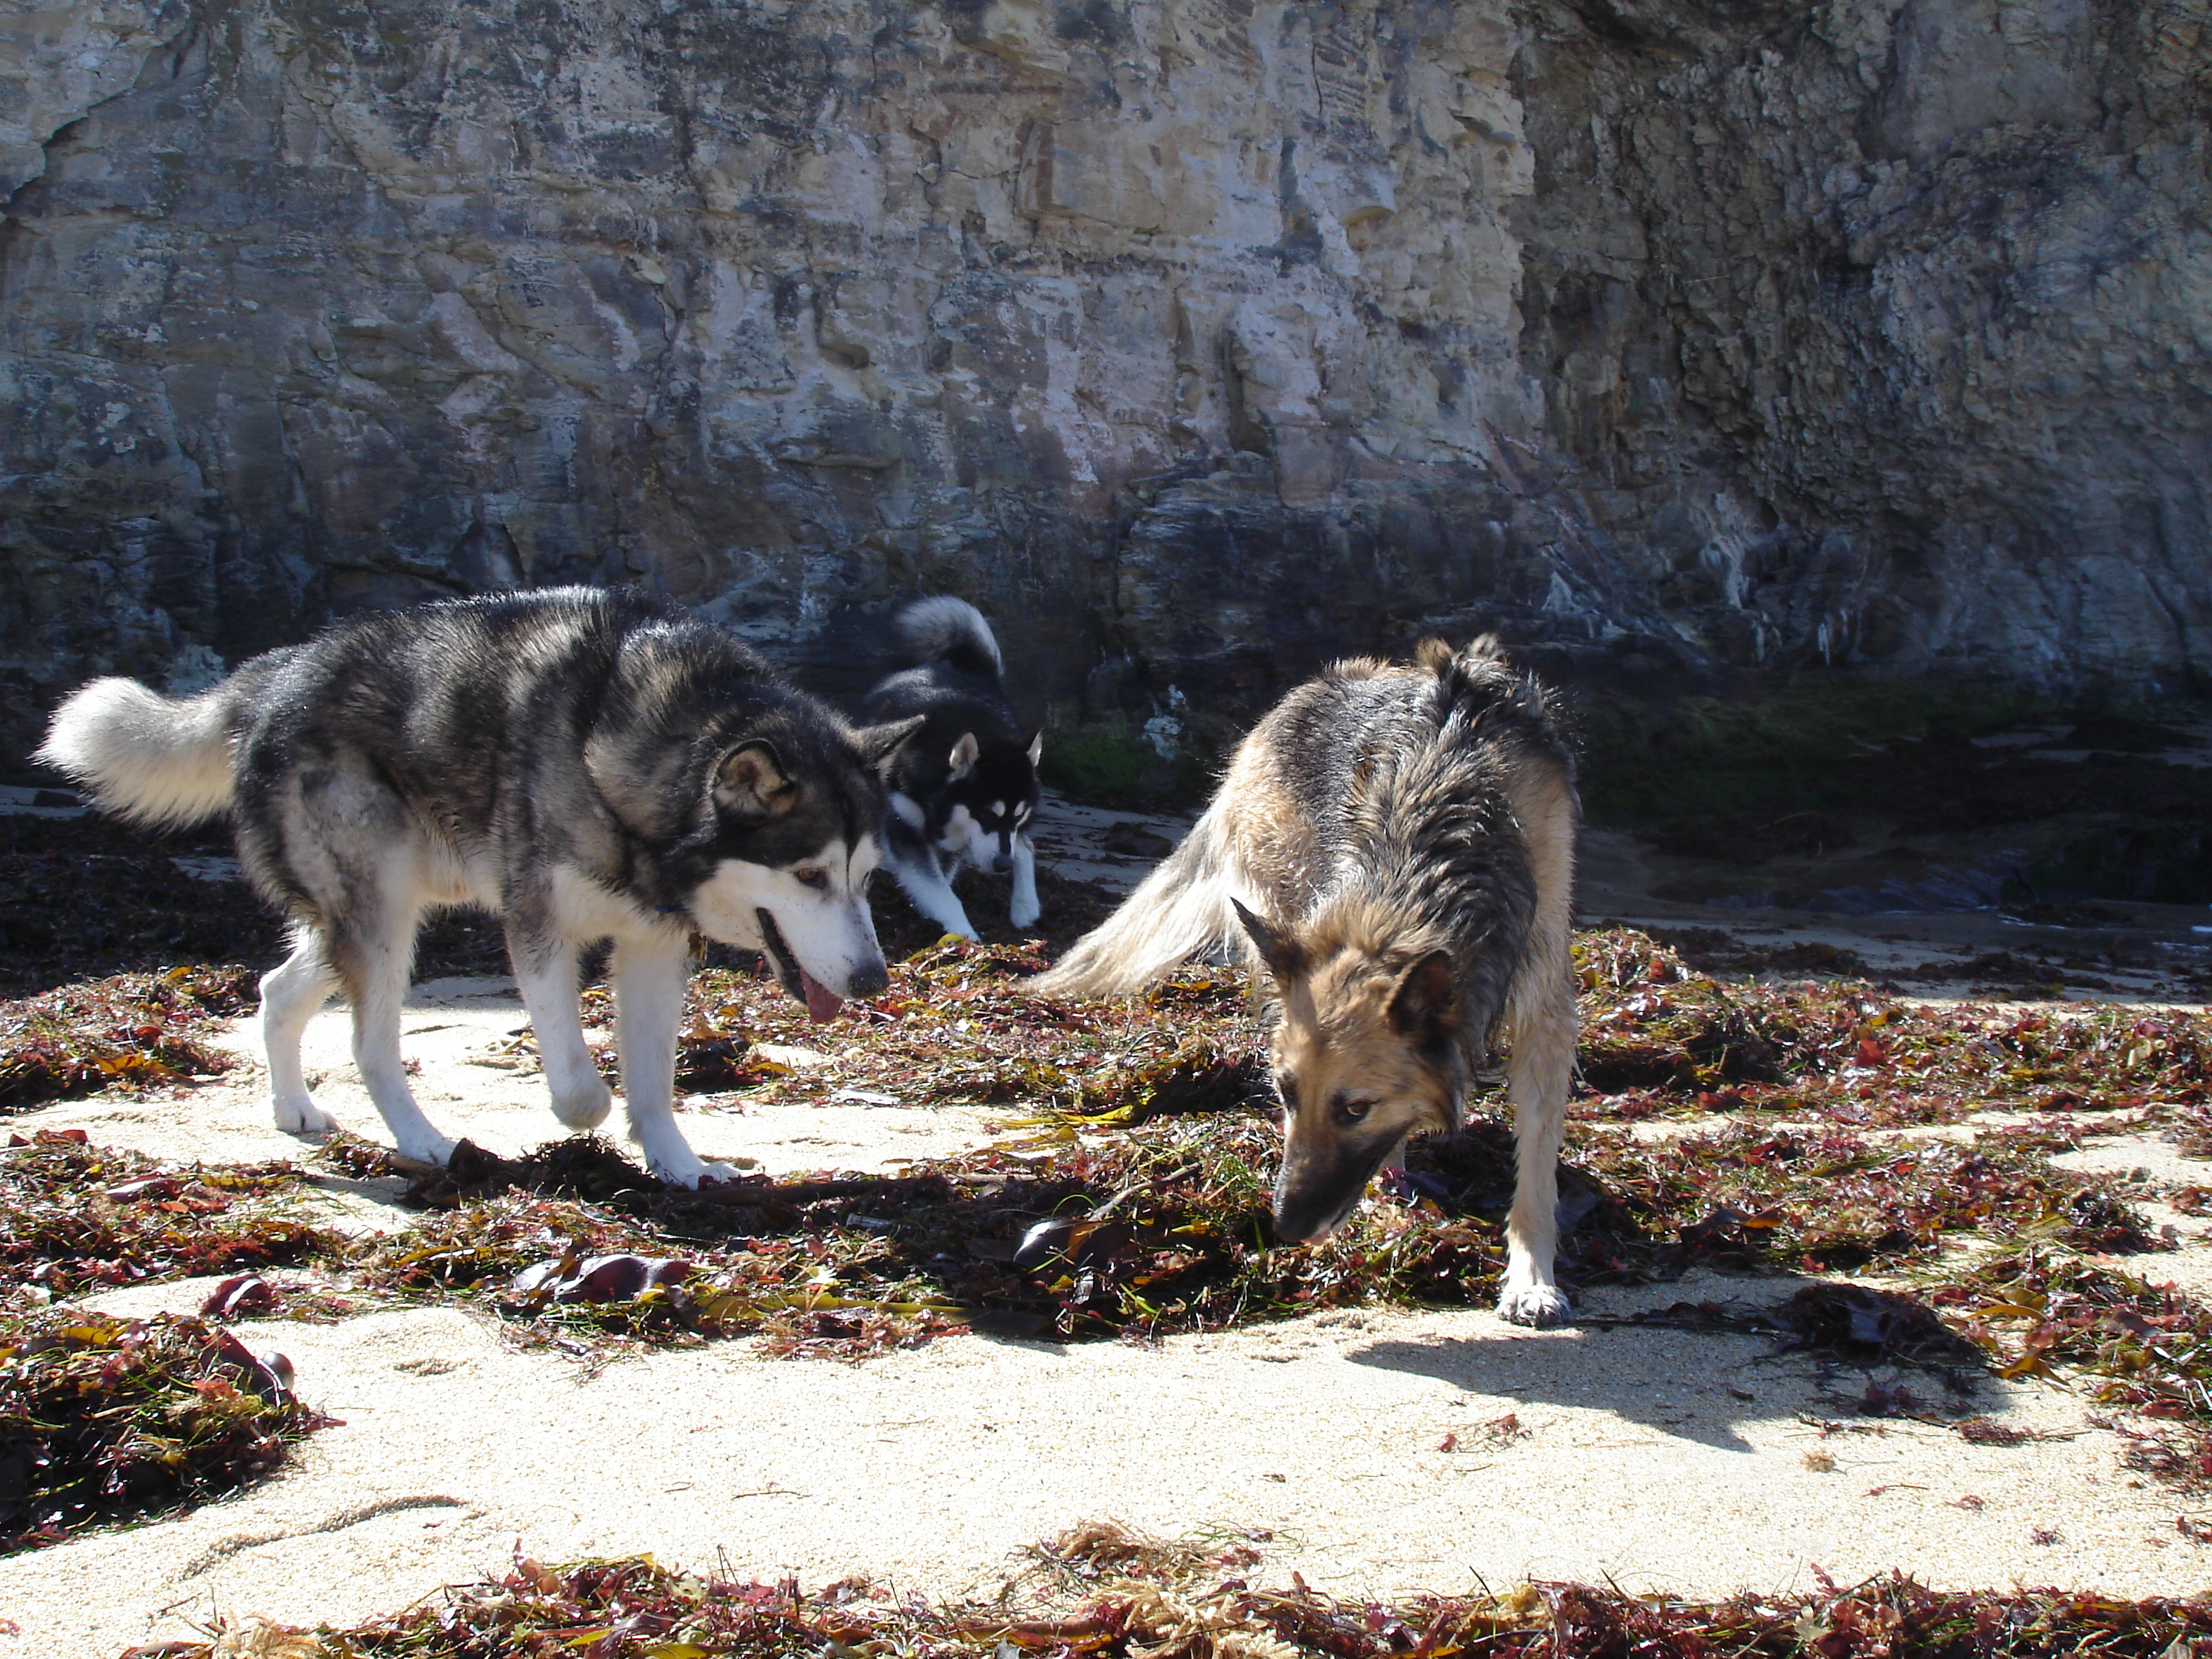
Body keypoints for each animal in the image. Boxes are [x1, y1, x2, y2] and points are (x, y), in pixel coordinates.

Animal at [36, 587, 922, 1188]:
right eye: (808, 875)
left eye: (865, 877)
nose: (873, 982)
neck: (635, 753)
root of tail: (278, 671)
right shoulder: (538, 925)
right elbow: (581, 1083)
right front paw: (585, 1122)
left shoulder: (653, 943)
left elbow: (653, 1079)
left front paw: (678, 1162)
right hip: (383, 918)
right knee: (370, 1044)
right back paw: (423, 1143)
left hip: (373, 913)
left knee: (277, 989)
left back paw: (296, 1110)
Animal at [860, 597, 1042, 940]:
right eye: (986, 814)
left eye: (1018, 815)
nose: (1002, 865)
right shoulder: (908, 832)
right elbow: (939, 889)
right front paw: (960, 932)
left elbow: (944, 885)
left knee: (1026, 847)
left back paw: (1025, 907)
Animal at [1033, 636, 1579, 1325]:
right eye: (1286, 1094)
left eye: (1356, 1109)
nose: (1286, 1228)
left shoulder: (1545, 1008)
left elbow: (1537, 1167)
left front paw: (1532, 1278)